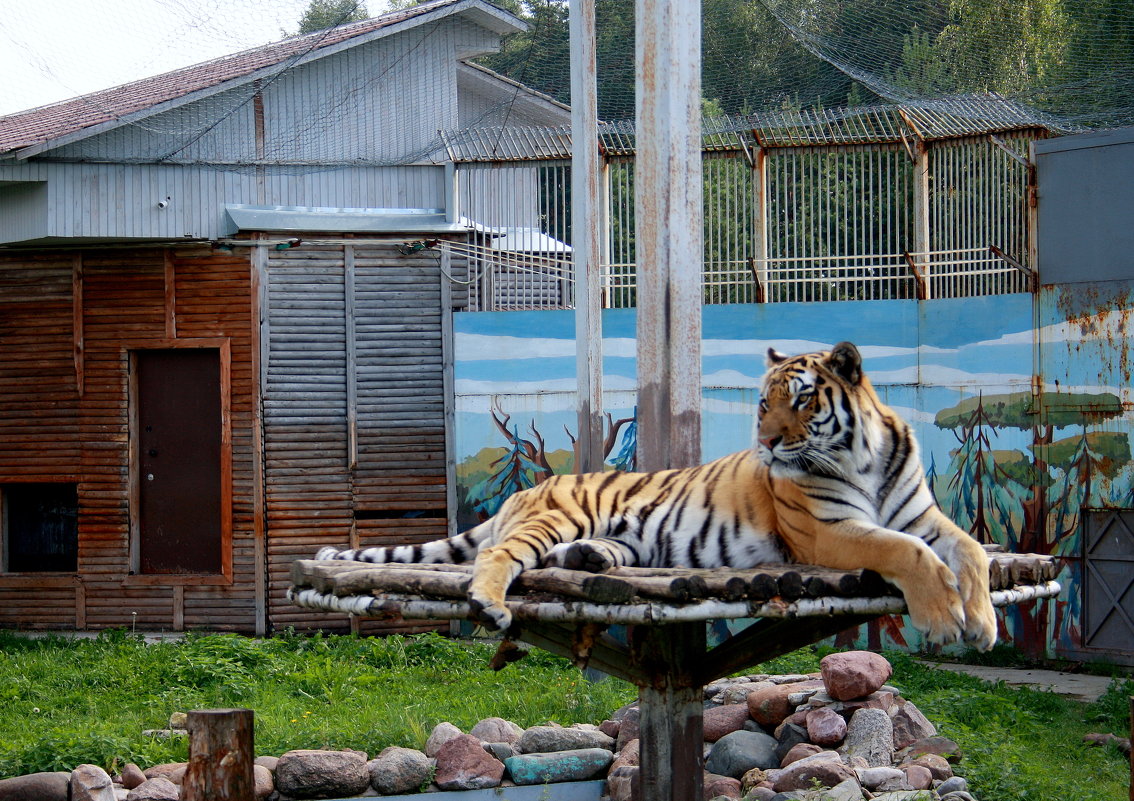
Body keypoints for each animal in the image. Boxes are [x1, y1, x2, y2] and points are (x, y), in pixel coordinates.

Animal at [315, 338, 997, 648]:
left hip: (625, 539)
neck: (865, 456)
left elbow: (971, 551)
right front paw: (944, 622)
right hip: (553, 518)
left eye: (802, 400)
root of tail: (532, 488)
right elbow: (906, 553)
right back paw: (490, 604)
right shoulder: (828, 532)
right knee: (498, 554)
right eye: (763, 402)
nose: (767, 442)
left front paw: (983, 623)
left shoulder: (925, 517)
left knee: (568, 555)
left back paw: (588, 559)